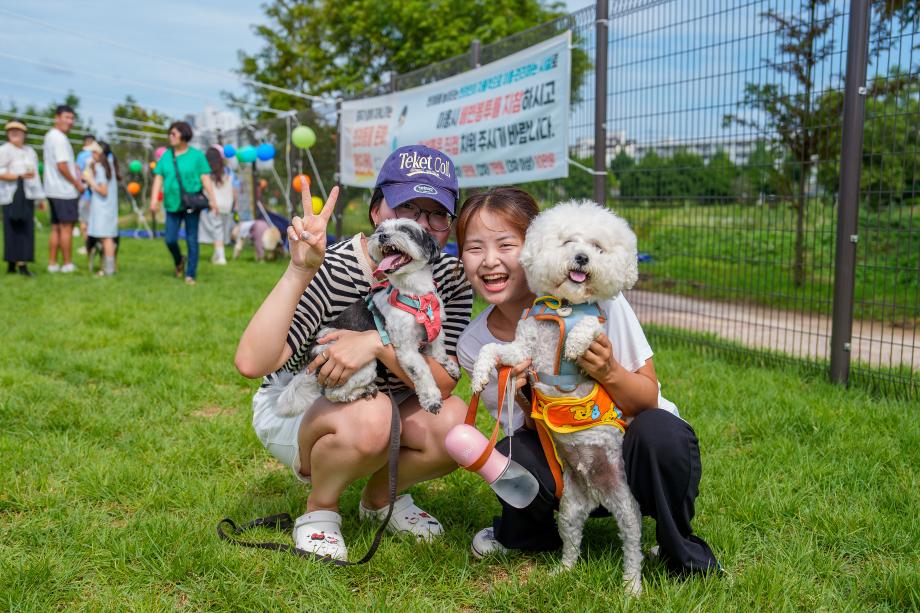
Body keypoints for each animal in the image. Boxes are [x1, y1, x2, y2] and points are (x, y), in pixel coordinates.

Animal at [274, 219, 460, 416]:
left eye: (406, 231)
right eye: (380, 230)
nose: (382, 236)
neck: (415, 295)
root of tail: (311, 359)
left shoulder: (434, 332)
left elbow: (440, 352)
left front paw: (451, 367)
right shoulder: (406, 348)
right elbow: (422, 371)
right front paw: (432, 400)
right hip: (361, 365)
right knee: (332, 393)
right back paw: (361, 392)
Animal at [470, 200, 644, 592]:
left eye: (597, 247)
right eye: (567, 242)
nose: (581, 257)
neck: (565, 305)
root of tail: (595, 491)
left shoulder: (597, 325)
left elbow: (590, 326)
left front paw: (577, 342)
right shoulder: (523, 349)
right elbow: (493, 349)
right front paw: (481, 373)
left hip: (627, 506)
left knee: (633, 546)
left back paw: (632, 587)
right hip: (570, 509)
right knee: (572, 542)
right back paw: (563, 571)